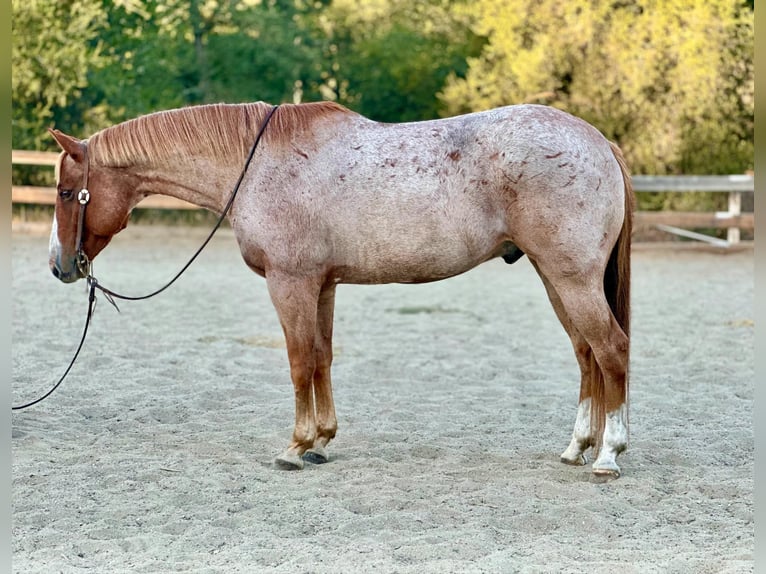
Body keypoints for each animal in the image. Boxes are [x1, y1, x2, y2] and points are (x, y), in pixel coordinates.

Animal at [47, 101, 633, 478]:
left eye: (65, 192)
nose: (59, 266)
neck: (259, 165)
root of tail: (598, 141)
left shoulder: (290, 284)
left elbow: (299, 362)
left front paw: (295, 446)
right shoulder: (322, 286)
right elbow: (323, 358)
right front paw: (322, 442)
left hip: (571, 278)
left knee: (611, 350)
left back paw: (609, 454)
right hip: (554, 278)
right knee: (587, 355)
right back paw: (577, 447)